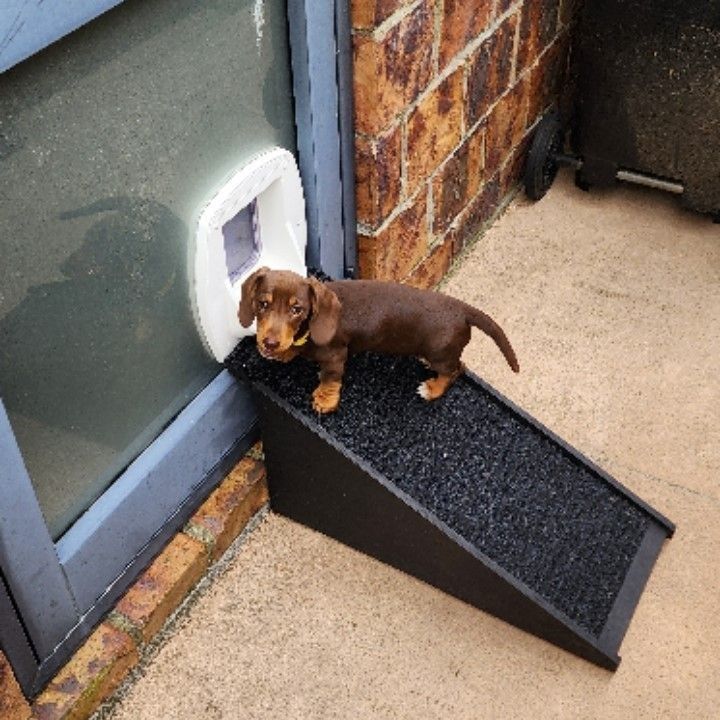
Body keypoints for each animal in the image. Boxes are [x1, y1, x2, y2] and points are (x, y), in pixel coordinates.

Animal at [239, 268, 519, 414]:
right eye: (263, 304)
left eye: (297, 309)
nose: (269, 343)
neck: (306, 329)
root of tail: (462, 309)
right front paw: (283, 352)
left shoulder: (336, 356)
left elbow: (330, 379)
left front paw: (325, 400)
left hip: (441, 353)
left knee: (456, 369)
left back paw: (432, 389)